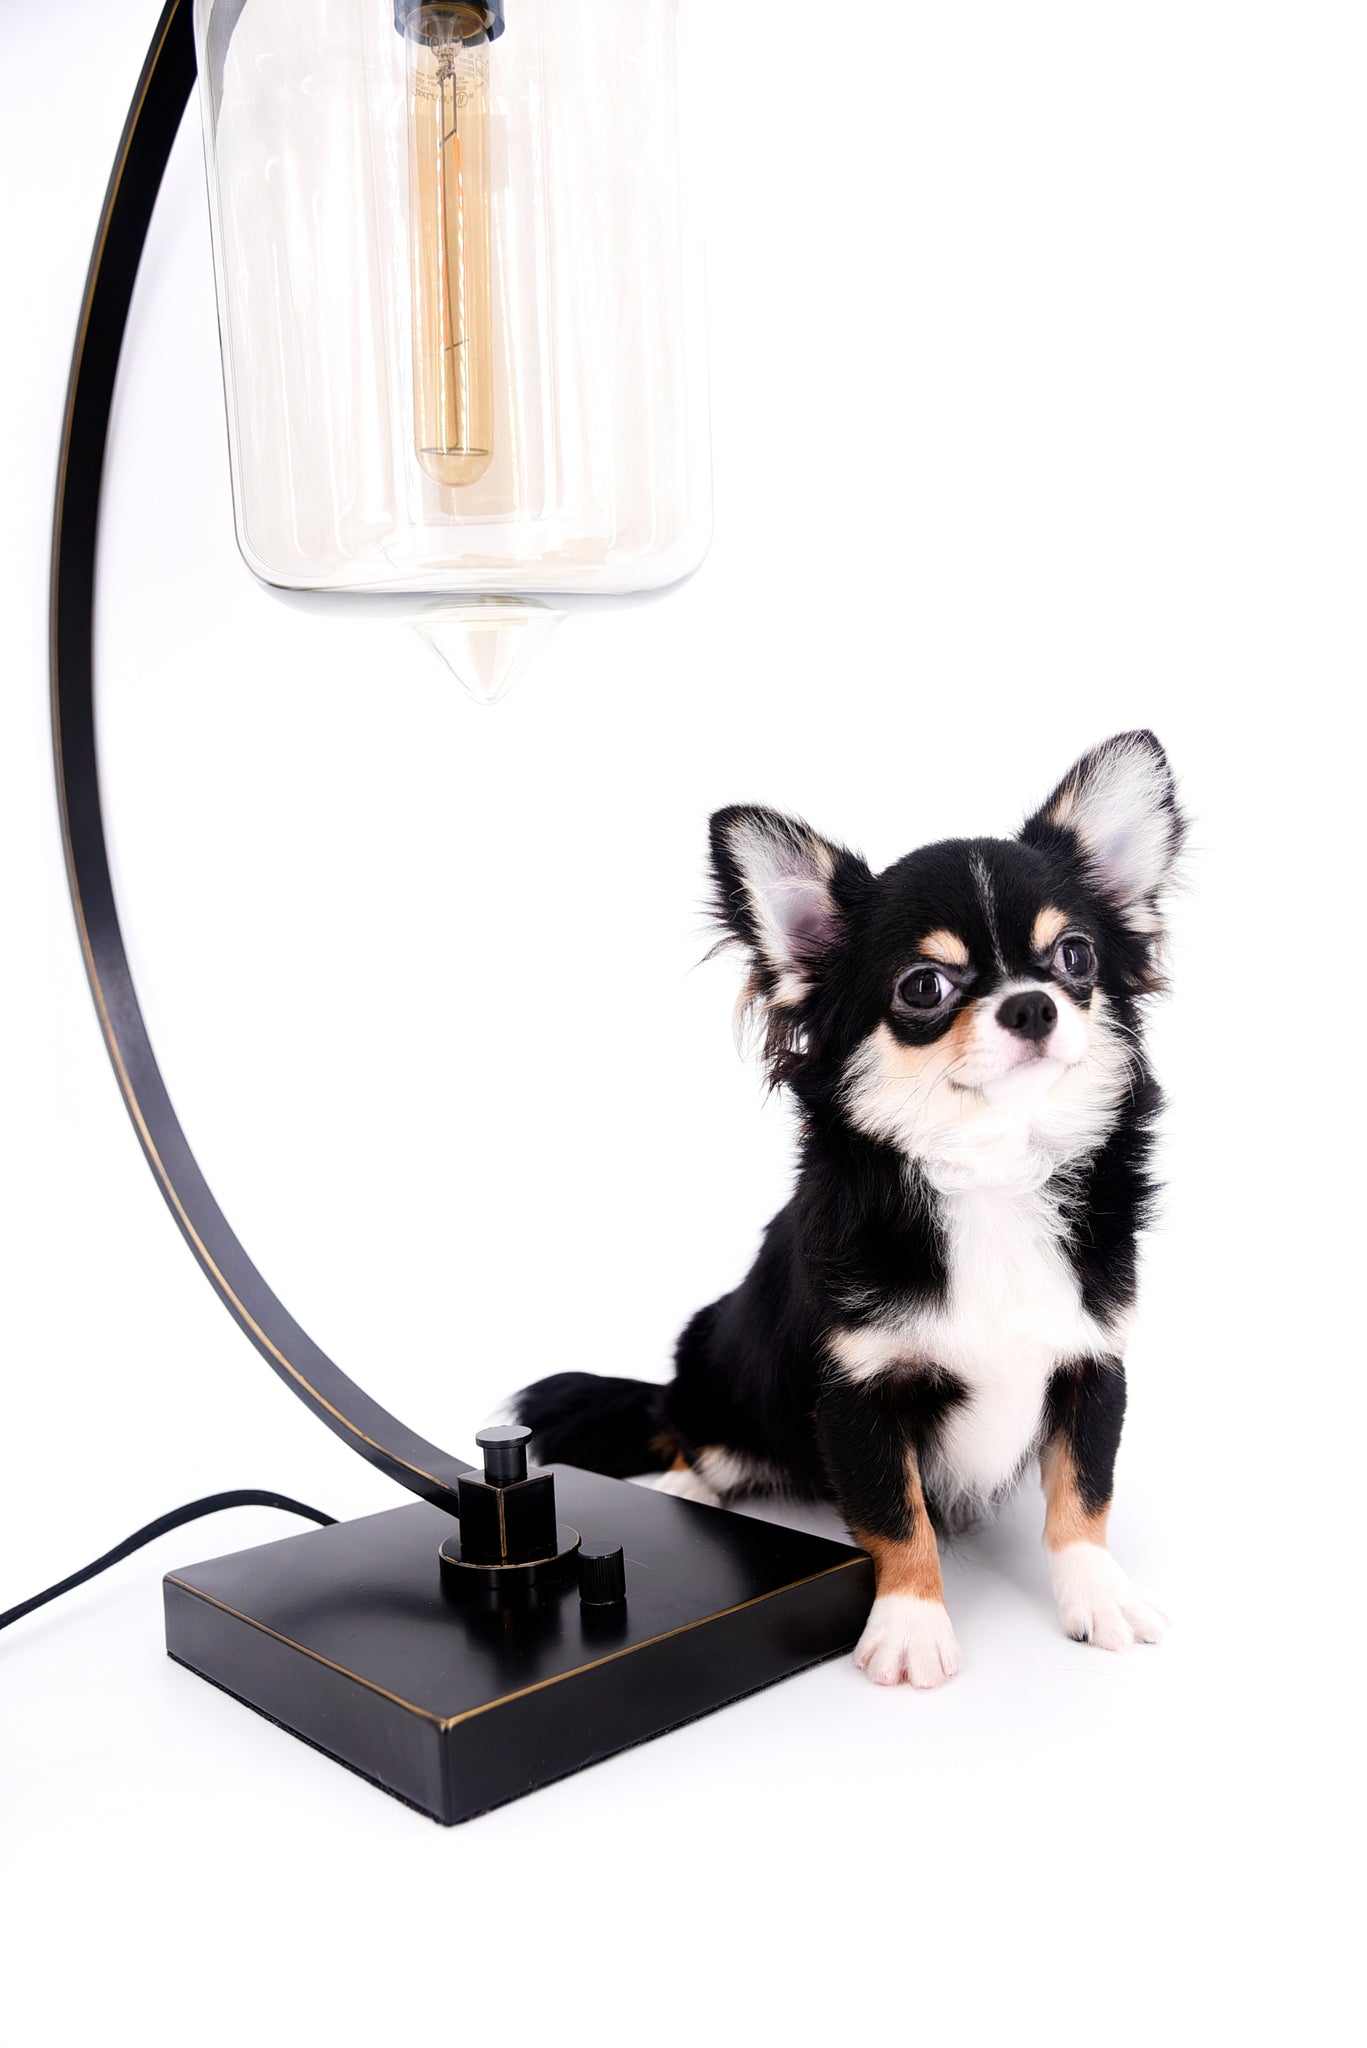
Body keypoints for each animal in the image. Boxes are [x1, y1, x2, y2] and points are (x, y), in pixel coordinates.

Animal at [515, 731, 1183, 1687]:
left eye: (1075, 959)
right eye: (922, 988)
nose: (1030, 1004)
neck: (989, 1170)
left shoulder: (1091, 1360)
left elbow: (1084, 1491)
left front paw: (1097, 1596)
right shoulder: (856, 1390)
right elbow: (896, 1515)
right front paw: (910, 1627)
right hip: (717, 1359)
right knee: (685, 1428)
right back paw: (686, 1486)